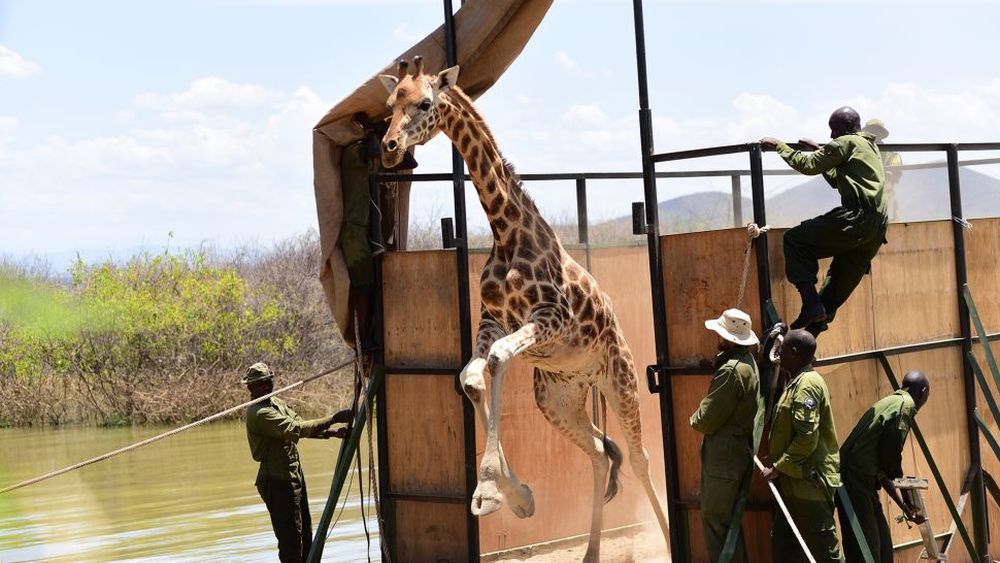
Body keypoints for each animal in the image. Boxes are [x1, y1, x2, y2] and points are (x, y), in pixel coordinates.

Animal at [378, 59, 668, 560]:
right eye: (390, 104)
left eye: (425, 103)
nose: (389, 147)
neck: (505, 230)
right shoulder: (492, 320)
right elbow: (471, 377)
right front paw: (515, 496)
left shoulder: (551, 317)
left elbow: (495, 362)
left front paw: (492, 490)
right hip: (557, 400)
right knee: (598, 452)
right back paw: (591, 551)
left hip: (621, 381)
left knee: (638, 457)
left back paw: (670, 541)